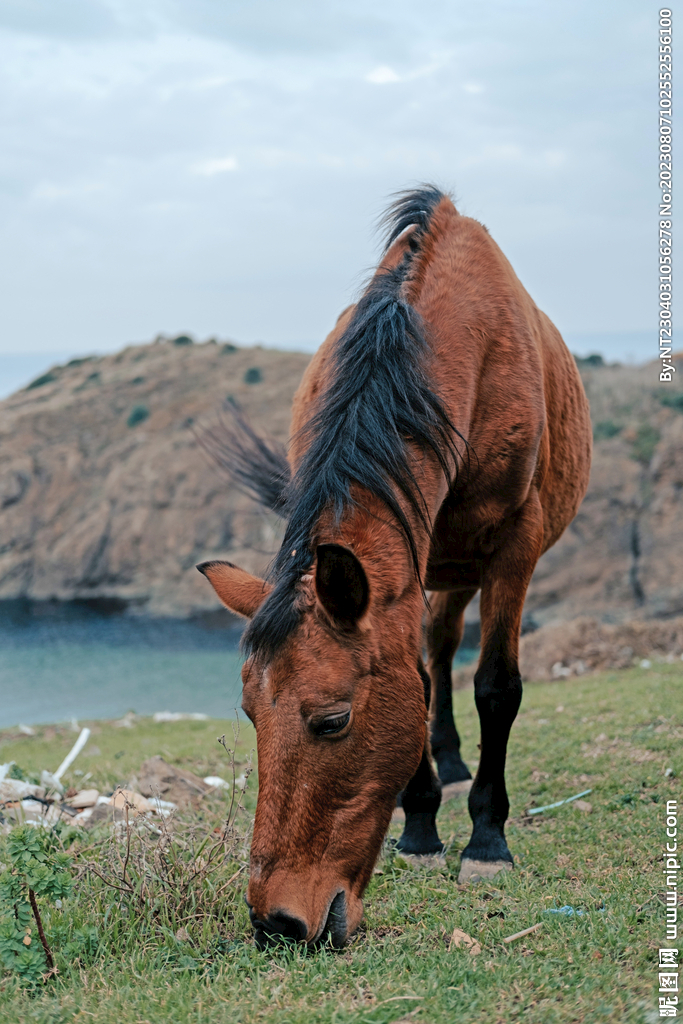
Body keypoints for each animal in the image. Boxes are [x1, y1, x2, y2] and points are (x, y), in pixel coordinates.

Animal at [198, 185, 592, 949]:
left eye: (332, 721)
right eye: (250, 714)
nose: (276, 923)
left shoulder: (514, 544)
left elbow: (496, 687)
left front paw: (485, 844)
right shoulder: (407, 565)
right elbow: (420, 680)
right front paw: (420, 827)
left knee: (449, 651)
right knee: (436, 654)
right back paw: (447, 762)